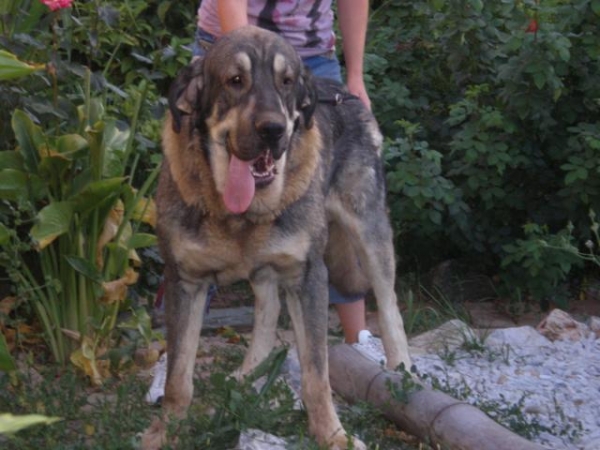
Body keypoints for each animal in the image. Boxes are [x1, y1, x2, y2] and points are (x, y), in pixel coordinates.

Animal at [143, 26, 410, 450]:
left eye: (287, 82)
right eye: (236, 80)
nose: (273, 131)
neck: (239, 213)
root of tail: (344, 92)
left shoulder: (308, 277)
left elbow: (317, 376)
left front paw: (332, 435)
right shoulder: (184, 280)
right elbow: (178, 377)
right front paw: (166, 431)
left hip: (369, 231)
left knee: (388, 303)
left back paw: (402, 368)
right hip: (267, 266)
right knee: (267, 306)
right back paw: (250, 373)